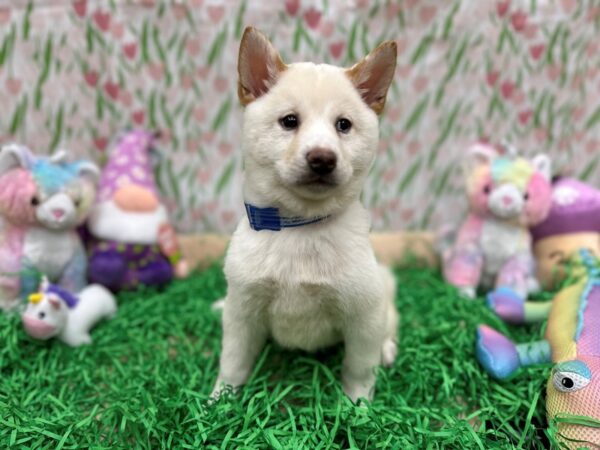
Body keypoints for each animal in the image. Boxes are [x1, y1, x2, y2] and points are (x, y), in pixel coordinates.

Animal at [213, 26, 400, 402]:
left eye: (343, 125)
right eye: (289, 121)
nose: (322, 159)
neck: (299, 226)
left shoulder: (364, 316)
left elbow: (359, 368)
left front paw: (358, 406)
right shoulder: (243, 311)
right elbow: (233, 362)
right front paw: (217, 402)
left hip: (382, 298)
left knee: (390, 323)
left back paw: (388, 349)